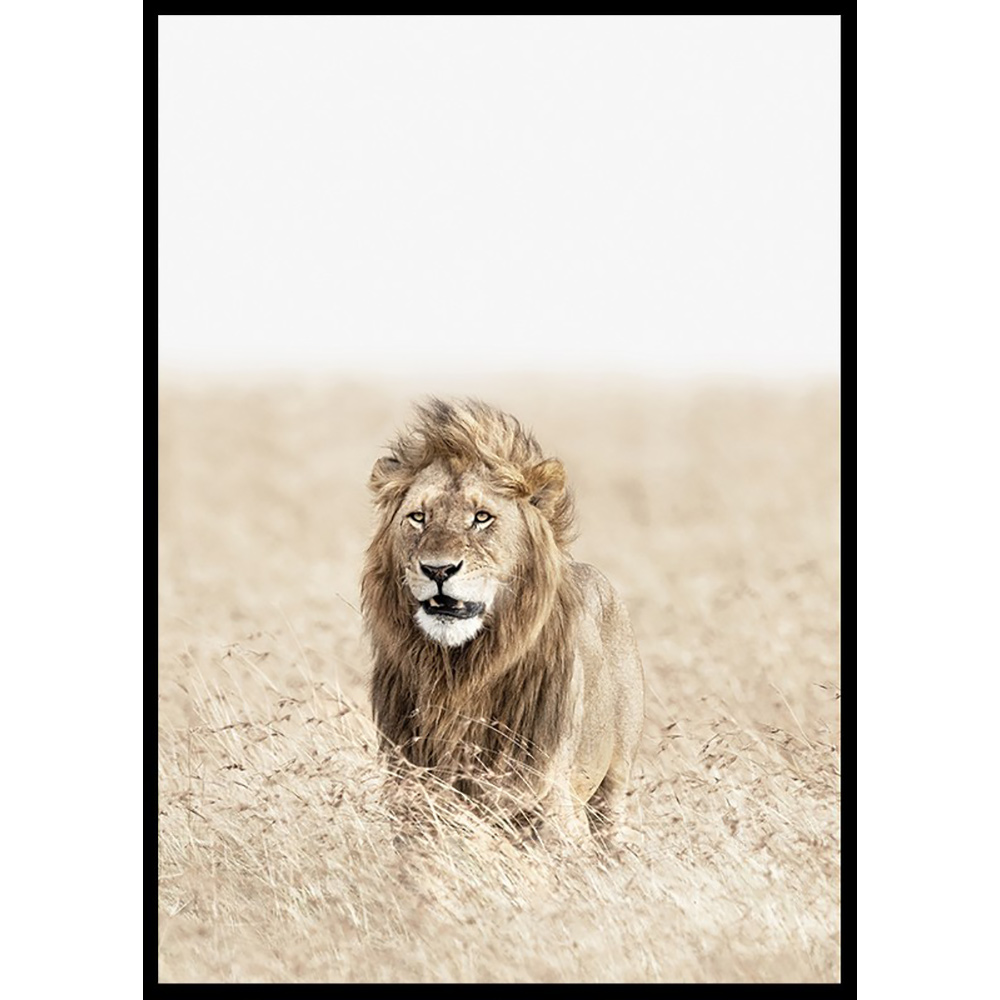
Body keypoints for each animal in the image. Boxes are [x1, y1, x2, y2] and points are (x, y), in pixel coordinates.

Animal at [361, 397, 644, 844]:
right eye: (418, 517)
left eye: (481, 517)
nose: (438, 569)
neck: (458, 673)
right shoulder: (410, 792)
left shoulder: (549, 801)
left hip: (615, 781)